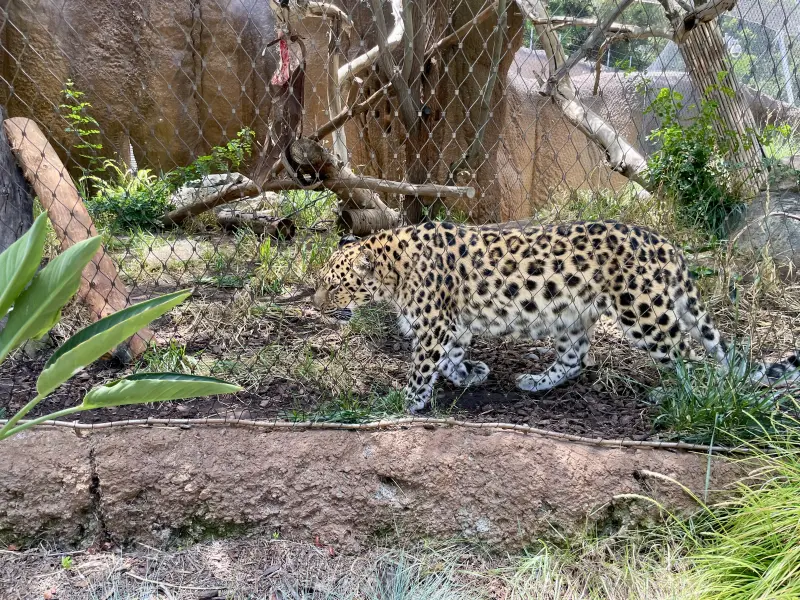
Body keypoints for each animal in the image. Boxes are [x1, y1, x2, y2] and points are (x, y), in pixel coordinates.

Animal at [312, 220, 800, 412]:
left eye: (334, 286)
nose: (316, 304)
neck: (391, 269)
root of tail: (667, 245)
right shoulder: (452, 324)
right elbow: (451, 357)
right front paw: (470, 375)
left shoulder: (435, 324)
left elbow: (422, 367)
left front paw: (404, 403)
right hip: (571, 315)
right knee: (577, 358)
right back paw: (537, 381)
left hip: (644, 312)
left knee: (690, 356)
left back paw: (686, 395)